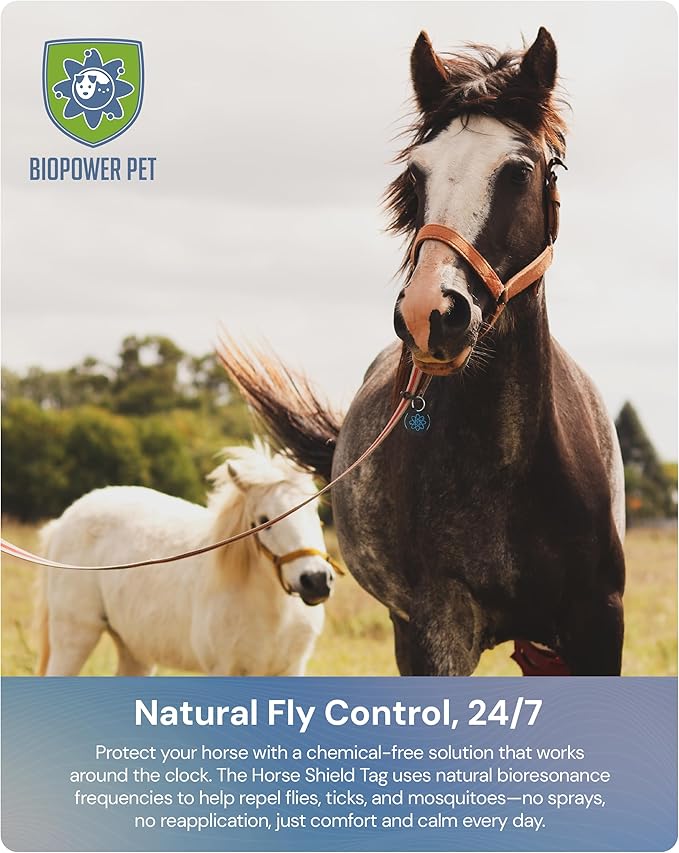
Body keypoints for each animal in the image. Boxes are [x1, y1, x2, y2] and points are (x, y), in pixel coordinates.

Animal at [34, 444, 337, 676]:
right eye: (264, 520)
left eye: (313, 510)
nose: (315, 580)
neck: (274, 613)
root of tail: (62, 522)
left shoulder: (290, 670)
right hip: (75, 637)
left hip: (134, 648)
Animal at [218, 28, 626, 676]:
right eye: (416, 174)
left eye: (519, 172)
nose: (430, 313)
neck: (510, 467)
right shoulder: (439, 628)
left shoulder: (597, 624)